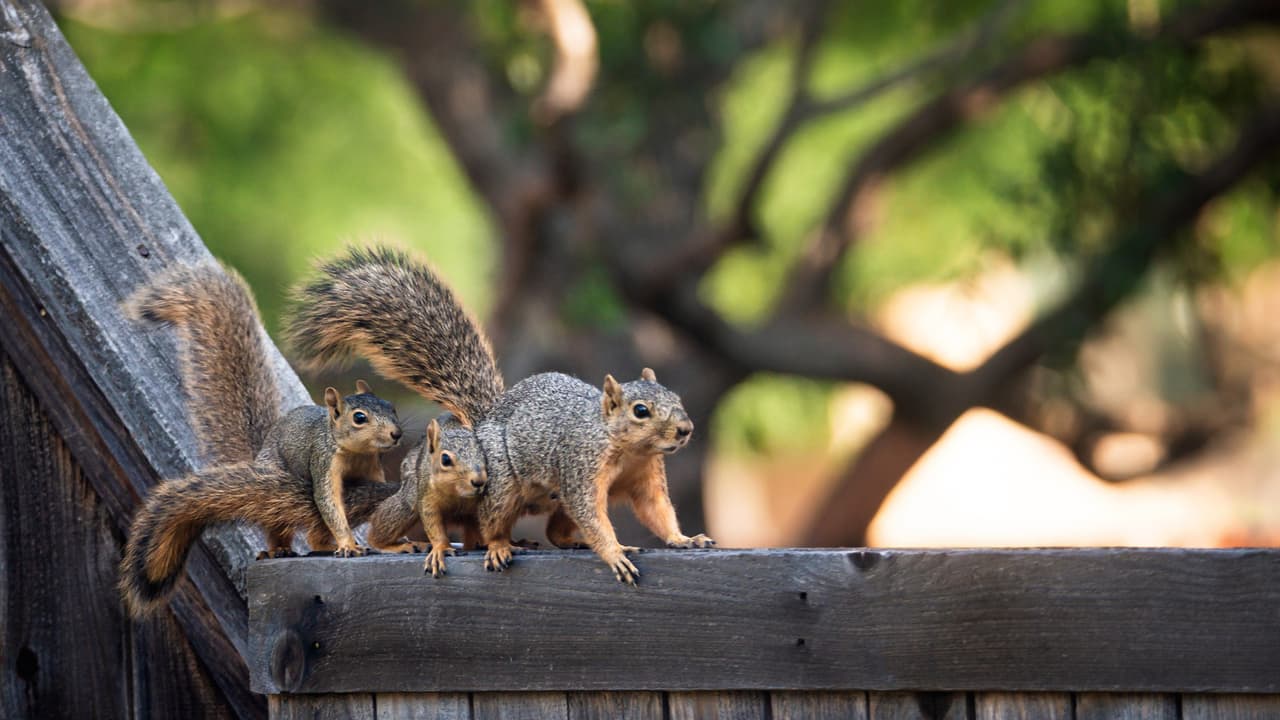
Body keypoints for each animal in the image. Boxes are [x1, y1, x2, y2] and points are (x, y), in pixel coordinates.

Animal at [286, 246, 714, 585]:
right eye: (641, 411)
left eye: (676, 398)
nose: (685, 429)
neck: (626, 448)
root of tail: (486, 417)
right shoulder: (580, 470)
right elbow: (593, 516)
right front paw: (614, 553)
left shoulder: (646, 478)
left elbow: (658, 511)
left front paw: (684, 539)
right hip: (502, 485)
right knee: (491, 522)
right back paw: (498, 545)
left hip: (548, 498)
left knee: (555, 529)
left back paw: (559, 540)